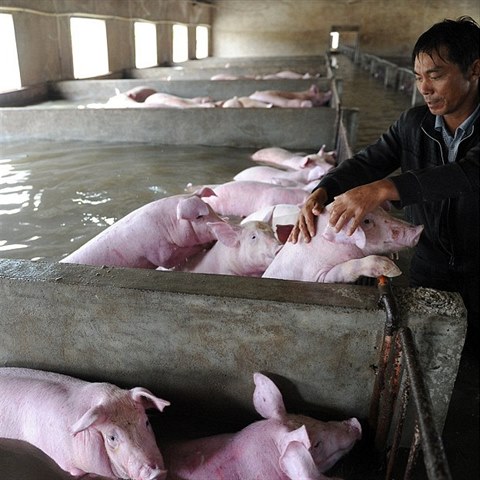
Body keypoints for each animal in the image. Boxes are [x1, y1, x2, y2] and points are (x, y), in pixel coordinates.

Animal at [62, 188, 227, 270]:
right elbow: (169, 261)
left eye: (210, 207)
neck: (167, 225)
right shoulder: (159, 251)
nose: (225, 224)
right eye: (199, 217)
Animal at [262, 205, 424, 282]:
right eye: (366, 221)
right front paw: (394, 270)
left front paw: (393, 256)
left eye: (383, 212)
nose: (419, 229)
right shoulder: (314, 275)